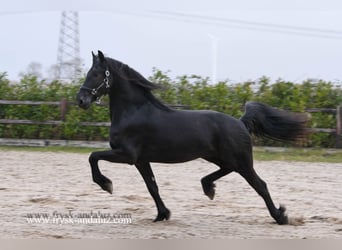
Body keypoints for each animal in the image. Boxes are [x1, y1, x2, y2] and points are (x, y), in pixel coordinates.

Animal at [77, 50, 308, 225]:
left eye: (96, 74)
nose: (81, 100)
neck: (133, 111)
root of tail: (241, 122)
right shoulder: (141, 160)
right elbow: (152, 187)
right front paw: (162, 215)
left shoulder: (127, 155)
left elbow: (93, 156)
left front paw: (106, 184)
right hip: (218, 157)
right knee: (227, 170)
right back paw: (208, 187)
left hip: (242, 161)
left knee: (260, 185)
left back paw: (280, 217)